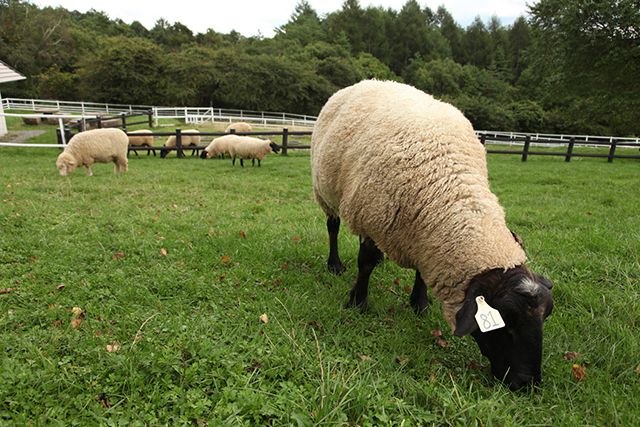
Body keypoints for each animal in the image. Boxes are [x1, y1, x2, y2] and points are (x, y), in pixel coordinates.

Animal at [312, 80, 552, 392]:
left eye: (545, 318)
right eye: (506, 322)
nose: (526, 383)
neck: (446, 184)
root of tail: (370, 81)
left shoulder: (424, 236)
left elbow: (420, 273)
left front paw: (419, 304)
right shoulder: (372, 212)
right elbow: (365, 262)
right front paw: (358, 302)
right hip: (327, 191)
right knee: (333, 226)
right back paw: (335, 264)